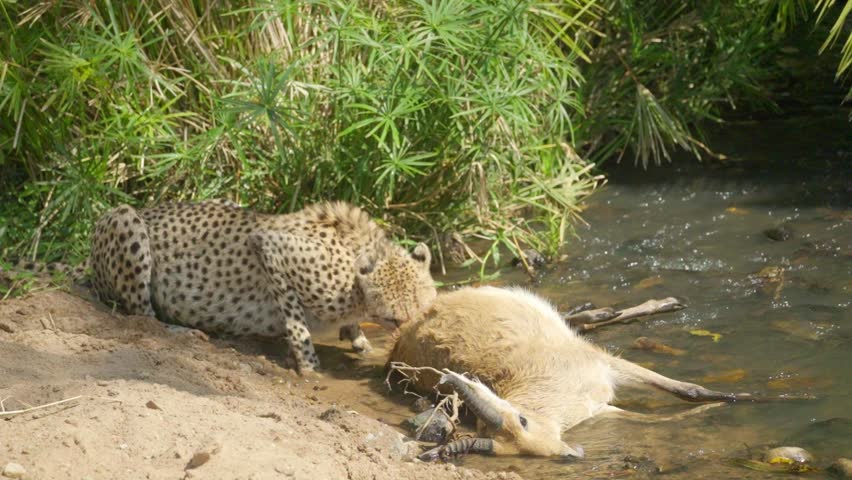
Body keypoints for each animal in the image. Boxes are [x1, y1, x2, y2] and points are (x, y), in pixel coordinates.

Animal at [88, 199, 437, 373]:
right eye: (393, 319)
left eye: (425, 313)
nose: (408, 340)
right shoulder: (271, 247)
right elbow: (298, 326)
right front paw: (309, 367)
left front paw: (360, 340)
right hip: (126, 219)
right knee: (142, 314)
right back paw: (181, 331)